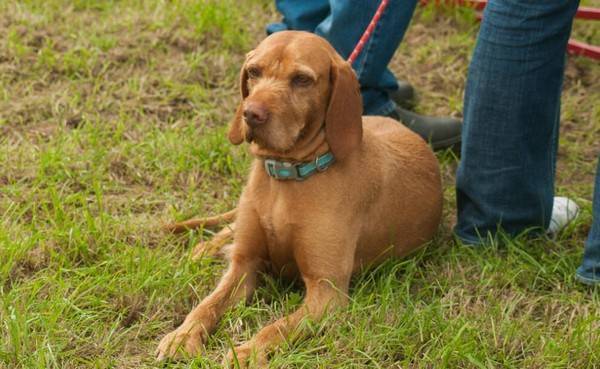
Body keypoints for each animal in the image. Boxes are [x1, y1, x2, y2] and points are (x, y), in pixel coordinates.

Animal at [157, 31, 442, 366]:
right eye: (253, 72)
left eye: (302, 79)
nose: (250, 113)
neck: (285, 179)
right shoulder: (244, 265)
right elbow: (207, 304)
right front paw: (183, 335)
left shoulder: (326, 291)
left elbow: (276, 327)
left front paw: (247, 352)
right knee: (232, 226)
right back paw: (207, 247)